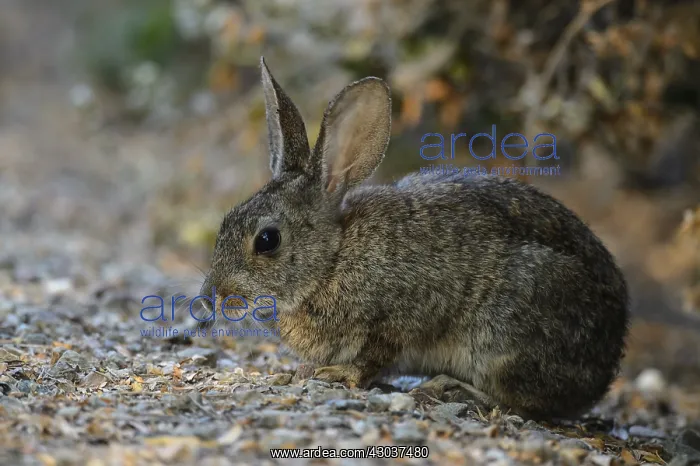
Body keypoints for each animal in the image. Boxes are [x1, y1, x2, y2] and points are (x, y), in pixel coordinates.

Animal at [199, 57, 630, 420]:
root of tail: (605, 367)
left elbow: (372, 358)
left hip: (507, 330)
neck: (332, 260)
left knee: (519, 402)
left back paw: (449, 388)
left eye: (267, 240)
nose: (214, 294)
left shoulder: (394, 320)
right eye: (226, 221)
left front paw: (338, 375)